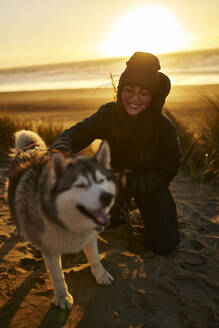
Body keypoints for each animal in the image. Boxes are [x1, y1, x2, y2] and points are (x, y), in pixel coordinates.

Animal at [7, 129, 116, 308]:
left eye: (101, 181)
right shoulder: (49, 249)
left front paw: (101, 274)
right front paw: (62, 297)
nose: (107, 197)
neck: (71, 224)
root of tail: (31, 146)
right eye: (80, 185)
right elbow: (57, 275)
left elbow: (95, 258)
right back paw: (18, 228)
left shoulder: (89, 237)